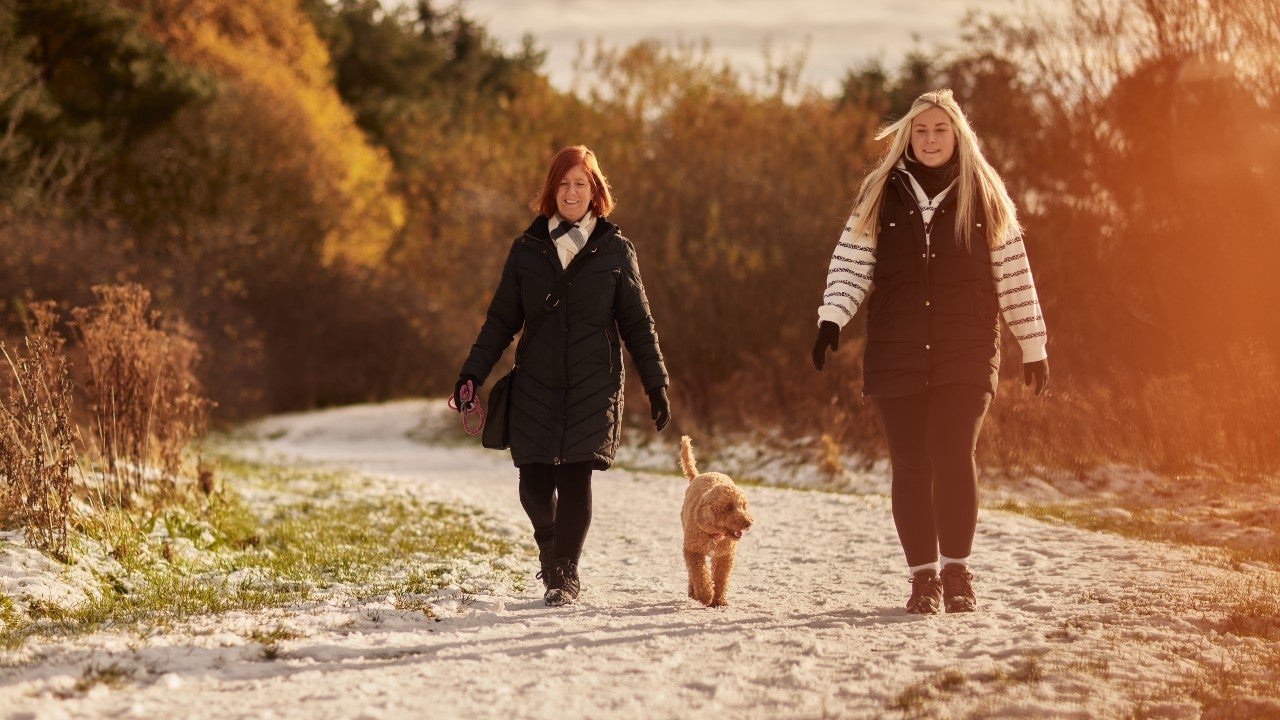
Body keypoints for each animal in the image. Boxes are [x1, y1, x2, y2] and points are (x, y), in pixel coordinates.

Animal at [680, 435, 747, 602]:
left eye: (743, 506)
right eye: (728, 507)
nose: (748, 523)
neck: (714, 535)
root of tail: (699, 475)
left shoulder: (725, 556)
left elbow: (721, 578)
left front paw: (718, 601)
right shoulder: (692, 550)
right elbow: (699, 573)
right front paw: (706, 595)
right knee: (692, 573)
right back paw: (694, 592)